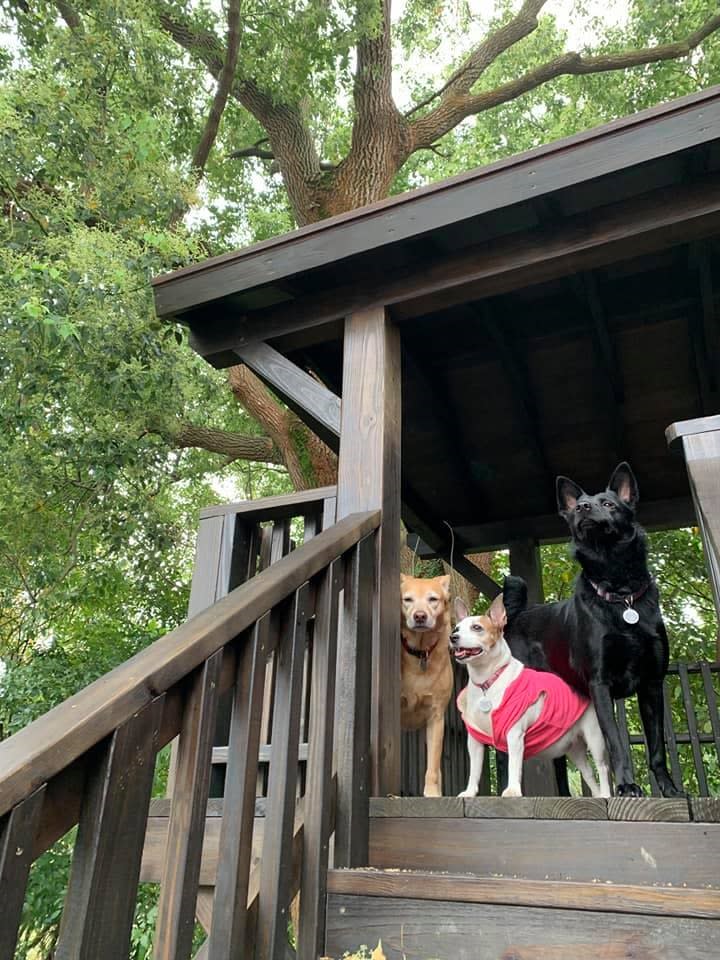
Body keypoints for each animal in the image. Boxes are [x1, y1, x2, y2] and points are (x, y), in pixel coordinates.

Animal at [452, 596, 612, 800]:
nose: (453, 637)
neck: (487, 682)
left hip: (594, 737)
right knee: (589, 774)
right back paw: (599, 795)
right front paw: (469, 792)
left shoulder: (514, 734)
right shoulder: (474, 740)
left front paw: (512, 790)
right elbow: (474, 769)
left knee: (602, 767)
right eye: (457, 628)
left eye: (477, 627)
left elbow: (513, 765)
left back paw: (606, 793)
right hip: (574, 749)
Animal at [500, 462, 680, 800]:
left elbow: (657, 747)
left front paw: (669, 789)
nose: (582, 508)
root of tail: (514, 616)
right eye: (577, 508)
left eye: (608, 503)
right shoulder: (600, 683)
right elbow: (617, 744)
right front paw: (627, 786)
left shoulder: (652, 684)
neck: (621, 595)